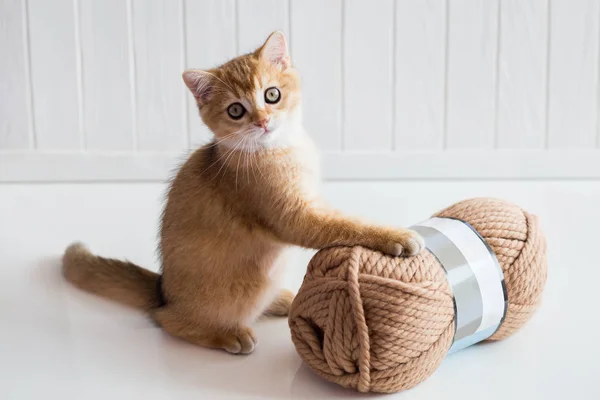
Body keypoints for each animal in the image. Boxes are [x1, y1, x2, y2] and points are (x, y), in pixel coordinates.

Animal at [62, 32, 422, 354]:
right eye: (236, 110)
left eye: (272, 94)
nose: (262, 121)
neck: (282, 149)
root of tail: (163, 290)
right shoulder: (296, 217)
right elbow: (346, 226)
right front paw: (394, 236)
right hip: (243, 288)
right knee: (166, 320)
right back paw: (226, 334)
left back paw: (279, 300)